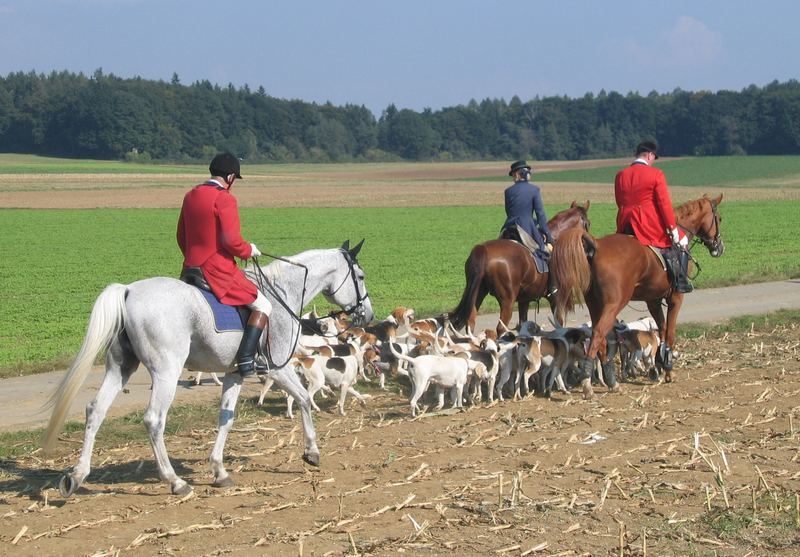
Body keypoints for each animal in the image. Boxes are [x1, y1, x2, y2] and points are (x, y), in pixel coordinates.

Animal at [45, 239, 376, 496]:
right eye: (360, 275)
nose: (368, 314)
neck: (282, 292)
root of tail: (127, 291)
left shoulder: (234, 373)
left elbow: (226, 419)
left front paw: (219, 470)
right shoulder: (276, 368)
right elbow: (305, 399)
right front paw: (312, 452)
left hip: (120, 367)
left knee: (95, 410)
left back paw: (76, 477)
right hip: (166, 372)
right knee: (154, 420)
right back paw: (175, 482)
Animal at [454, 201, 592, 332]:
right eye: (588, 223)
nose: (589, 247)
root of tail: (483, 250)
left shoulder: (524, 300)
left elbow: (523, 324)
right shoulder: (556, 299)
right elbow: (559, 324)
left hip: (478, 293)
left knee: (470, 323)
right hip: (507, 301)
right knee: (500, 328)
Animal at [552, 193, 724, 398]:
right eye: (719, 218)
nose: (719, 247)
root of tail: (597, 245)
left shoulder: (653, 300)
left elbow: (662, 329)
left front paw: (659, 364)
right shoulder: (676, 298)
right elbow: (670, 332)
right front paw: (668, 369)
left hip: (594, 305)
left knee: (599, 338)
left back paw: (611, 381)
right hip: (614, 304)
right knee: (598, 334)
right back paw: (588, 384)